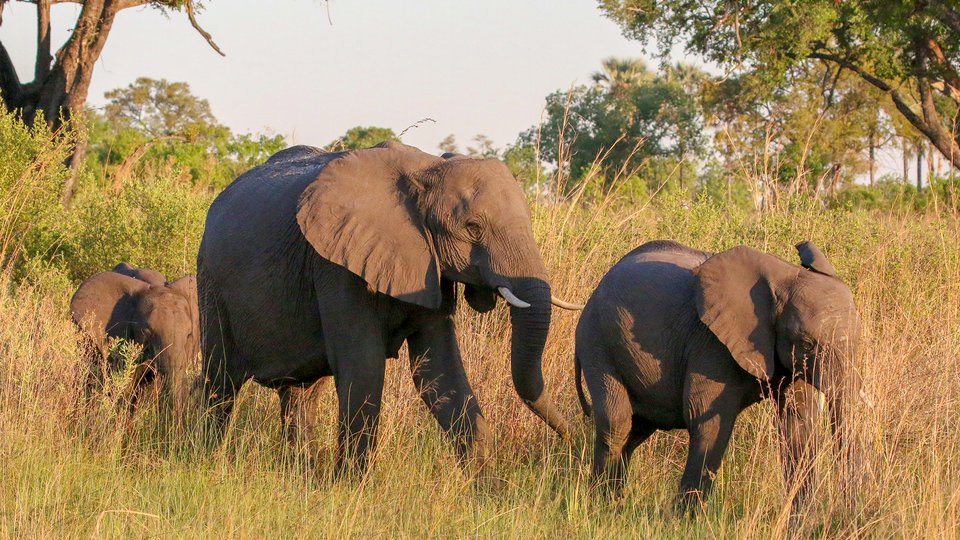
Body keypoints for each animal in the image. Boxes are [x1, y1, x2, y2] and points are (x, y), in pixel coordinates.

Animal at [197, 141, 579, 472]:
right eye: (472, 228)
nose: (576, 440)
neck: (428, 168)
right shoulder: (338, 266)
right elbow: (364, 365)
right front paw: (350, 487)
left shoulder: (429, 267)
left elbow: (439, 372)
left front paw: (485, 490)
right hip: (211, 283)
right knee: (221, 379)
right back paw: (204, 459)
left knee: (301, 392)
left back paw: (302, 474)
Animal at [574, 240, 861, 509]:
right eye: (807, 343)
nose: (845, 511)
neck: (785, 275)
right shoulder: (712, 344)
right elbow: (706, 419)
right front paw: (684, 520)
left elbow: (798, 424)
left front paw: (800, 519)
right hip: (597, 341)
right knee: (617, 423)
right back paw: (600, 505)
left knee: (637, 430)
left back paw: (614, 503)